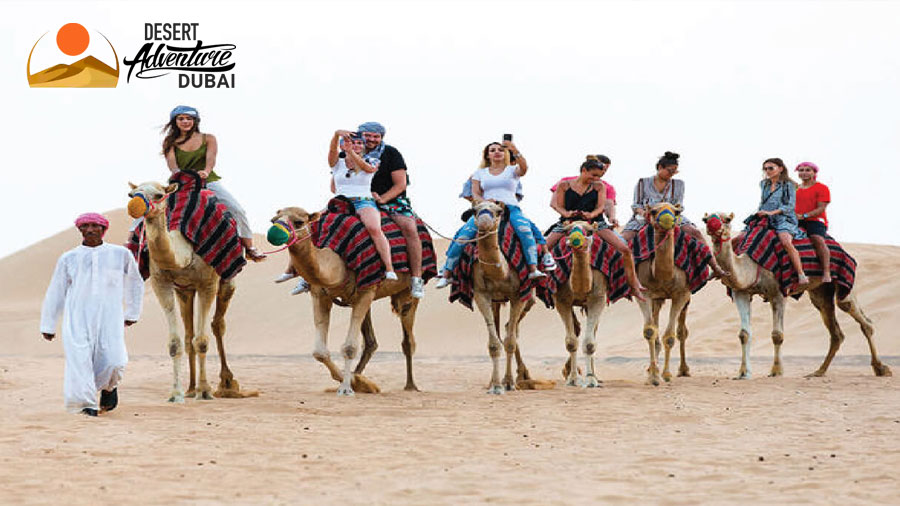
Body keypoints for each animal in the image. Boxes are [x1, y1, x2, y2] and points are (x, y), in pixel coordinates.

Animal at [126, 180, 255, 402]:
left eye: (159, 195)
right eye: (131, 194)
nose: (135, 206)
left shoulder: (207, 284)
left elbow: (202, 341)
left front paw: (205, 391)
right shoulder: (162, 284)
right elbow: (175, 343)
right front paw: (176, 393)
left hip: (225, 281)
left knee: (217, 324)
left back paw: (227, 384)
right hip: (185, 292)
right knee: (189, 336)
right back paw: (191, 388)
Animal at [270, 206, 422, 396]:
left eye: (299, 222)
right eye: (273, 220)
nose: (274, 232)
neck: (339, 265)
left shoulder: (366, 291)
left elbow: (349, 347)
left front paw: (347, 388)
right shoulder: (320, 293)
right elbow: (319, 352)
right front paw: (356, 382)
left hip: (405, 293)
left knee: (407, 338)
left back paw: (411, 385)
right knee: (371, 342)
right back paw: (359, 375)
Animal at [552, 220, 608, 388]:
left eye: (589, 231)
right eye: (566, 231)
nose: (575, 239)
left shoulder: (598, 298)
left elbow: (589, 343)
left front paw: (590, 379)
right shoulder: (561, 300)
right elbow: (571, 342)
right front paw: (572, 378)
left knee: (592, 332)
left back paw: (595, 376)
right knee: (576, 330)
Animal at [632, 204, 696, 386]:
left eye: (677, 211)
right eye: (653, 211)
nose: (668, 219)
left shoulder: (681, 294)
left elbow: (670, 336)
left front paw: (666, 375)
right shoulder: (644, 292)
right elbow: (650, 331)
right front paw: (653, 376)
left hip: (686, 299)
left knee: (682, 331)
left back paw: (683, 370)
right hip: (657, 298)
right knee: (655, 324)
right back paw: (651, 370)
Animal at [700, 211, 888, 380]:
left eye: (727, 219)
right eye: (705, 219)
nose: (712, 226)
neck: (752, 264)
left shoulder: (778, 293)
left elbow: (777, 335)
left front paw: (776, 371)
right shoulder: (741, 292)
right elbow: (744, 334)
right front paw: (743, 373)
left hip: (844, 284)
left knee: (859, 317)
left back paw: (881, 368)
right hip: (820, 292)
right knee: (835, 331)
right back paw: (818, 372)